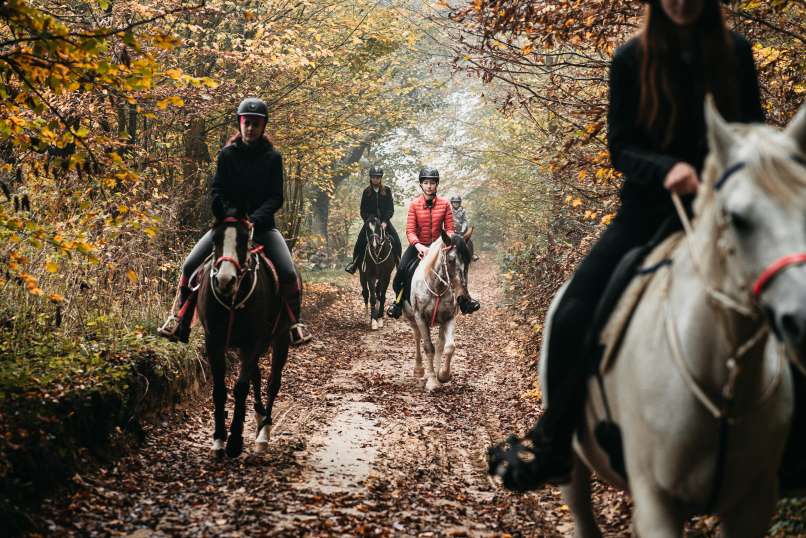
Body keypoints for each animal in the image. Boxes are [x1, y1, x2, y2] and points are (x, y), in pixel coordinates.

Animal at [196, 209, 294, 456]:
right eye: (215, 239)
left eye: (243, 241)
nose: (224, 281)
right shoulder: (214, 342)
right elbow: (220, 389)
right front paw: (219, 439)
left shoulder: (253, 342)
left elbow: (241, 387)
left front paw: (234, 441)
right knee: (256, 375)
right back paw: (259, 417)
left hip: (280, 340)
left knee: (272, 383)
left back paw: (263, 433)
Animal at [404, 226, 474, 390]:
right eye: (450, 260)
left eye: (468, 260)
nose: (462, 298)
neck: (437, 288)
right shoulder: (420, 318)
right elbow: (428, 348)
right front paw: (432, 381)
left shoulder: (448, 318)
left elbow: (449, 347)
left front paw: (442, 375)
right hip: (411, 318)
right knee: (417, 337)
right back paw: (419, 369)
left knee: (440, 344)